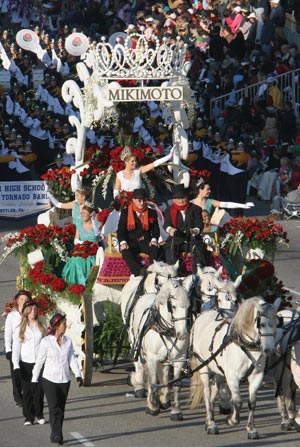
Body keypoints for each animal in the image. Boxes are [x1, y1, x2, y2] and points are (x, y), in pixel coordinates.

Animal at [129, 276, 192, 420]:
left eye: (188, 306)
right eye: (173, 306)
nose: (182, 334)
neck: (167, 330)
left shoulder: (179, 359)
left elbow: (176, 384)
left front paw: (176, 411)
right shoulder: (152, 358)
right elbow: (153, 383)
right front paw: (153, 406)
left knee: (163, 373)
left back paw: (164, 399)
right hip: (140, 351)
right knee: (145, 372)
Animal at [190, 296, 282, 440]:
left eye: (277, 323)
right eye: (261, 324)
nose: (269, 351)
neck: (244, 345)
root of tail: (202, 315)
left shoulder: (256, 376)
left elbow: (252, 403)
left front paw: (251, 429)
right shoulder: (232, 376)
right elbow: (238, 401)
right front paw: (232, 420)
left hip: (219, 371)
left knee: (214, 391)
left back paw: (208, 421)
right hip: (204, 367)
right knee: (207, 393)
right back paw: (211, 424)